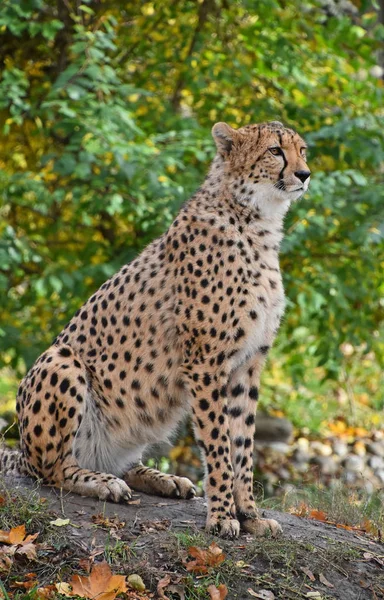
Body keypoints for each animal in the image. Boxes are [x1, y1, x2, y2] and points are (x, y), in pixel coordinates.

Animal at [0, 119, 310, 536]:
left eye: (302, 150)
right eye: (276, 151)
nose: (304, 174)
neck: (256, 220)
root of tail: (21, 452)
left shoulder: (248, 363)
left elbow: (243, 446)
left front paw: (250, 515)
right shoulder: (206, 363)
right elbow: (219, 444)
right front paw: (222, 516)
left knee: (119, 465)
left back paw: (164, 479)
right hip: (60, 360)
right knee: (53, 469)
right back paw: (101, 483)